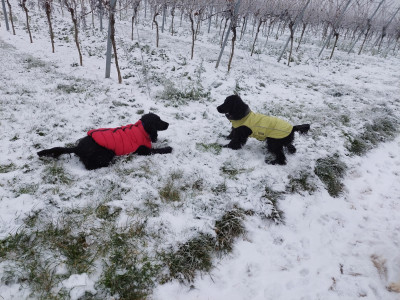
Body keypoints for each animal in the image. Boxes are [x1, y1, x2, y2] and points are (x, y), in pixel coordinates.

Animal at [38, 113, 173, 170]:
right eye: (158, 120)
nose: (168, 124)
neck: (142, 128)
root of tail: (78, 148)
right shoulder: (142, 150)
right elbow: (157, 150)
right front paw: (169, 148)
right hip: (107, 152)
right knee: (90, 166)